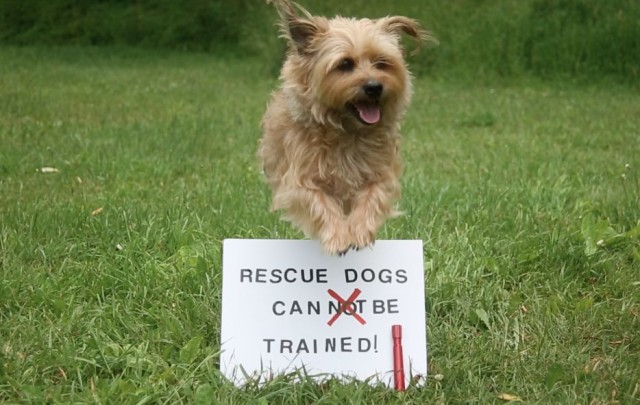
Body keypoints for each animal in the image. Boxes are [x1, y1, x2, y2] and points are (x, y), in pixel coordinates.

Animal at [258, 0, 428, 254]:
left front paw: (358, 231)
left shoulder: (381, 174)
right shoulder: (298, 181)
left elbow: (372, 196)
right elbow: (319, 201)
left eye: (381, 63)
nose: (374, 86)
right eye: (345, 64)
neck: (347, 131)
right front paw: (338, 236)